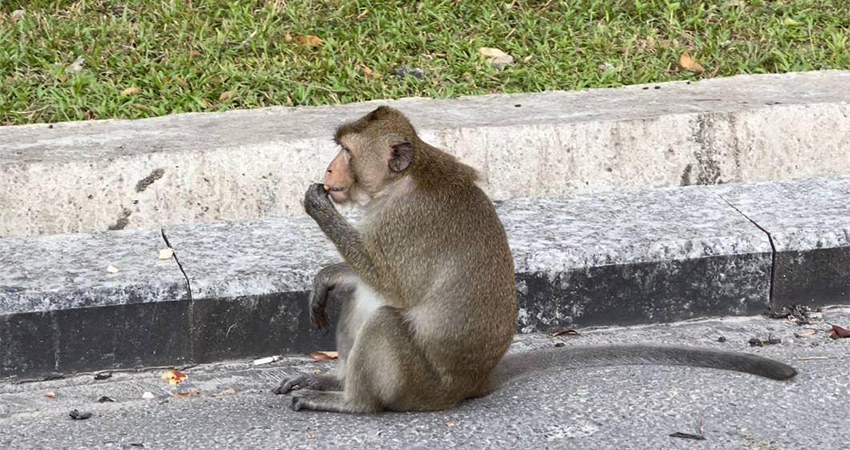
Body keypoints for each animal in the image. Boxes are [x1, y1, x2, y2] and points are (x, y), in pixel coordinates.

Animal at [274, 106, 796, 414]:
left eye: (345, 152)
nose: (327, 171)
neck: (399, 182)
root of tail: (474, 383)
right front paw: (327, 277)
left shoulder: (405, 223)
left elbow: (392, 281)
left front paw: (318, 209)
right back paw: (331, 379)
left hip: (419, 386)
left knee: (385, 319)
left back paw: (350, 402)